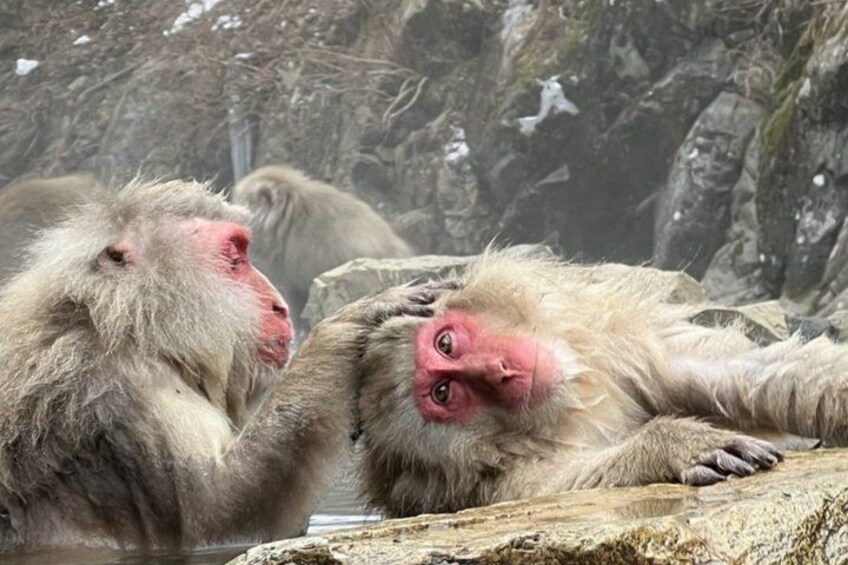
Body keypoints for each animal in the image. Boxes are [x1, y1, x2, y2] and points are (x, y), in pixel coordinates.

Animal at [356, 252, 848, 518]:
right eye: (444, 393)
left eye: (446, 343)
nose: (499, 370)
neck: (565, 407)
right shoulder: (480, 487)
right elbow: (564, 488)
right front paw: (674, 446)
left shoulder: (617, 344)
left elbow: (743, 370)